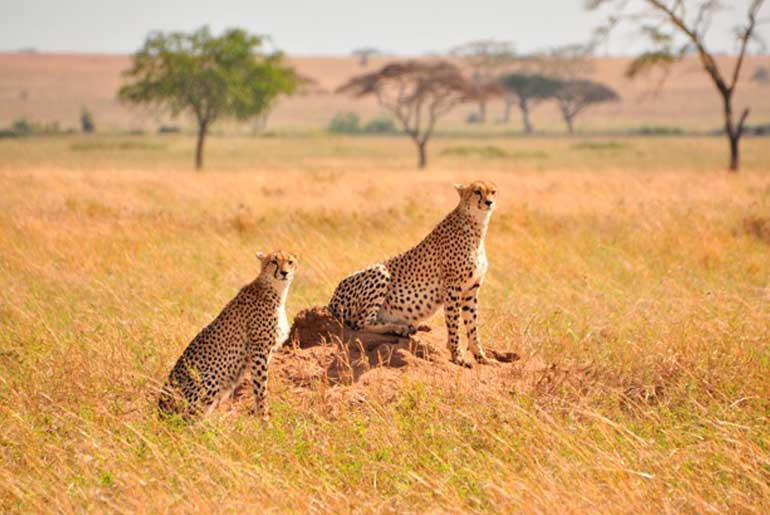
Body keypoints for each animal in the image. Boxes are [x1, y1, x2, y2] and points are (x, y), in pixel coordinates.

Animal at [158, 250, 296, 420]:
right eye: (274, 261)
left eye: (290, 262)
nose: (284, 273)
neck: (275, 291)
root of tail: (160, 409)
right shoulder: (259, 352)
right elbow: (260, 389)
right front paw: (264, 418)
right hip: (210, 378)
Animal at [326, 181, 496, 366]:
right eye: (477, 191)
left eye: (493, 192)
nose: (489, 202)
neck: (476, 226)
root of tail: (331, 301)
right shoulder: (453, 287)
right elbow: (454, 323)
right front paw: (457, 355)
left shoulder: (472, 288)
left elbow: (472, 325)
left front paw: (481, 356)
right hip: (380, 271)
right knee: (361, 323)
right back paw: (399, 328)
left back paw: (413, 327)